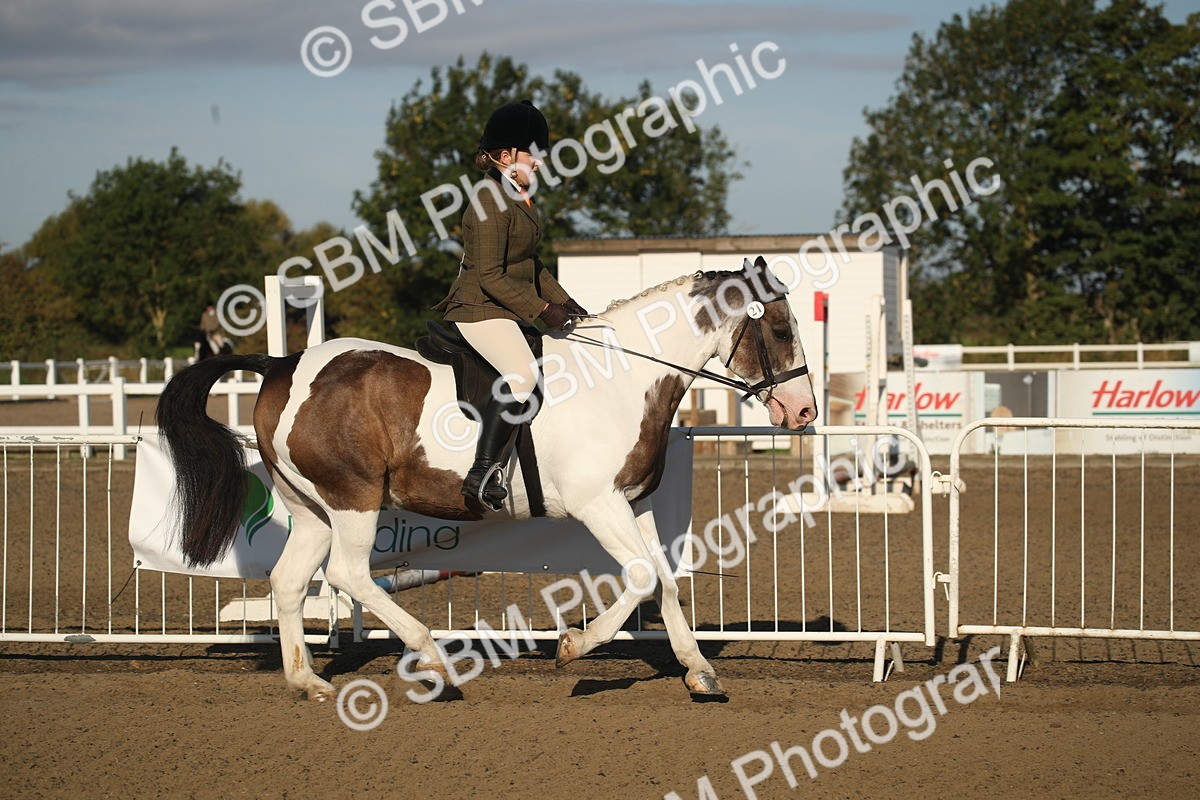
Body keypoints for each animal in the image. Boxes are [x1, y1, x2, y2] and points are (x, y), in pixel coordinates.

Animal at [155, 257, 817, 701]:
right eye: (782, 330)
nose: (805, 413)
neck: (625, 378)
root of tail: (283, 364)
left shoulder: (635, 504)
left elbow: (666, 582)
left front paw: (699, 672)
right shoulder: (598, 505)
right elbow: (639, 577)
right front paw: (574, 647)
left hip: (313, 508)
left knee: (291, 581)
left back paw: (307, 681)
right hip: (353, 498)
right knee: (347, 574)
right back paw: (431, 658)